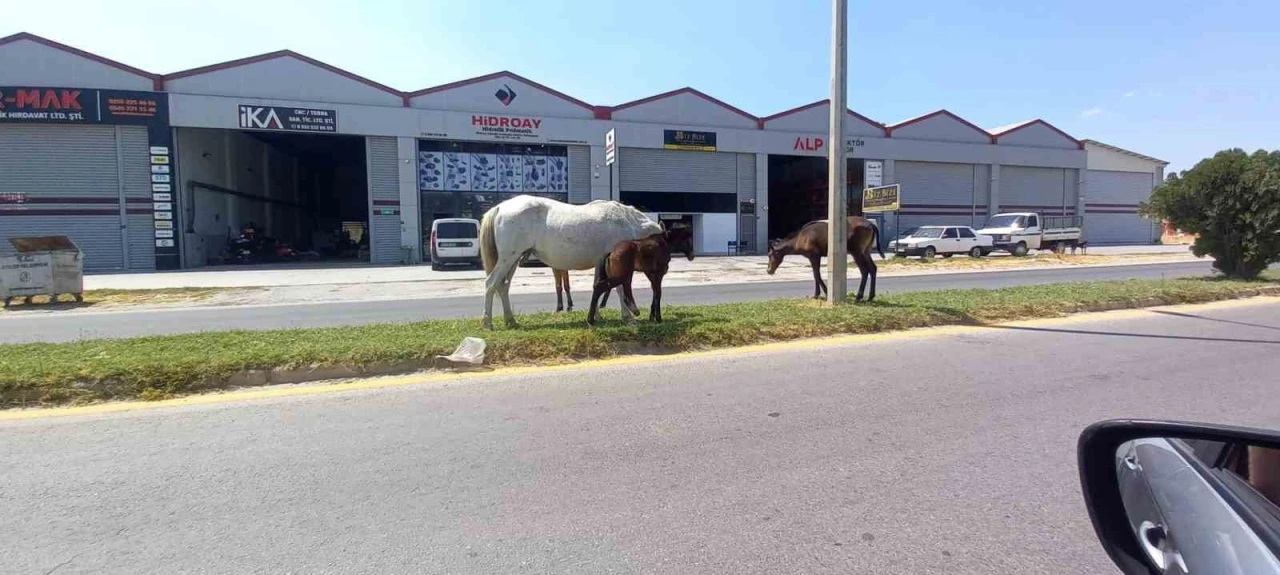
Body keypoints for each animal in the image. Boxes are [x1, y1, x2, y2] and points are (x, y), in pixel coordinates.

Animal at [481, 195, 660, 327]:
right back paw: (488, 322)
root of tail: (500, 208)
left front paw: (596, 314)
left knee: (503, 286)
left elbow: (599, 286)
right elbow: (620, 288)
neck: (626, 222)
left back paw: (510, 320)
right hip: (508, 258)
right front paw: (627, 316)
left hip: (513, 259)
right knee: (491, 284)